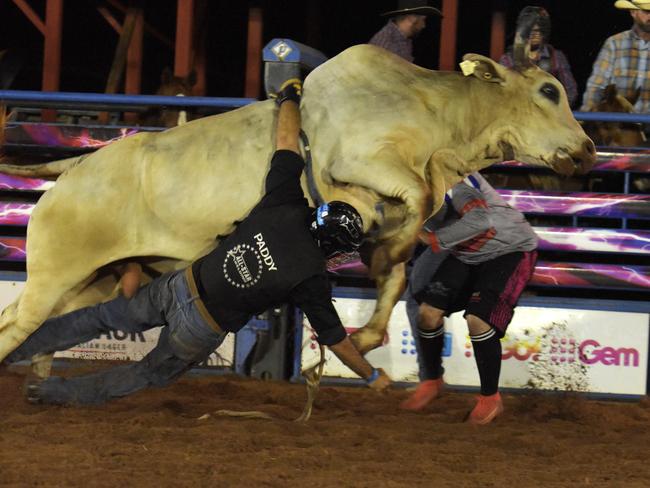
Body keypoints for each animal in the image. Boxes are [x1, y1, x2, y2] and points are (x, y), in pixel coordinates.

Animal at [0, 45, 592, 364]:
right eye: (548, 91)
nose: (586, 149)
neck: (434, 113)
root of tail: (73, 168)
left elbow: (397, 270)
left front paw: (368, 334)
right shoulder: (359, 161)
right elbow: (419, 201)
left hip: (91, 282)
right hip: (55, 272)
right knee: (16, 324)